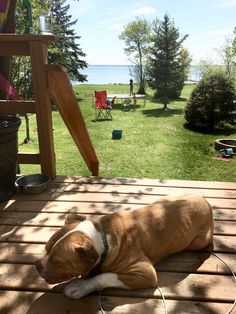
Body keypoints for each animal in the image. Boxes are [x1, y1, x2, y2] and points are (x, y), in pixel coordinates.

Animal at [35, 194, 214, 300]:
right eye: (46, 248)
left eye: (58, 262)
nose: (37, 265)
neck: (102, 236)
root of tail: (205, 200)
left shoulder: (144, 273)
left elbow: (104, 276)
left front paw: (80, 286)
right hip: (164, 199)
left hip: (199, 241)